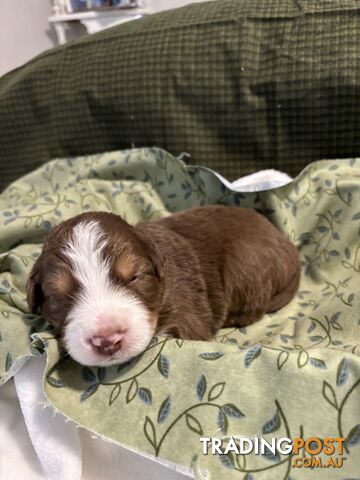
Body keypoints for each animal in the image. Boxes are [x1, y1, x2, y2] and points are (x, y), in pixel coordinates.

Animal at [26, 204, 300, 366]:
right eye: (58, 296)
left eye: (134, 277)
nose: (108, 341)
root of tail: (286, 243)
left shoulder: (188, 312)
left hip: (244, 264)